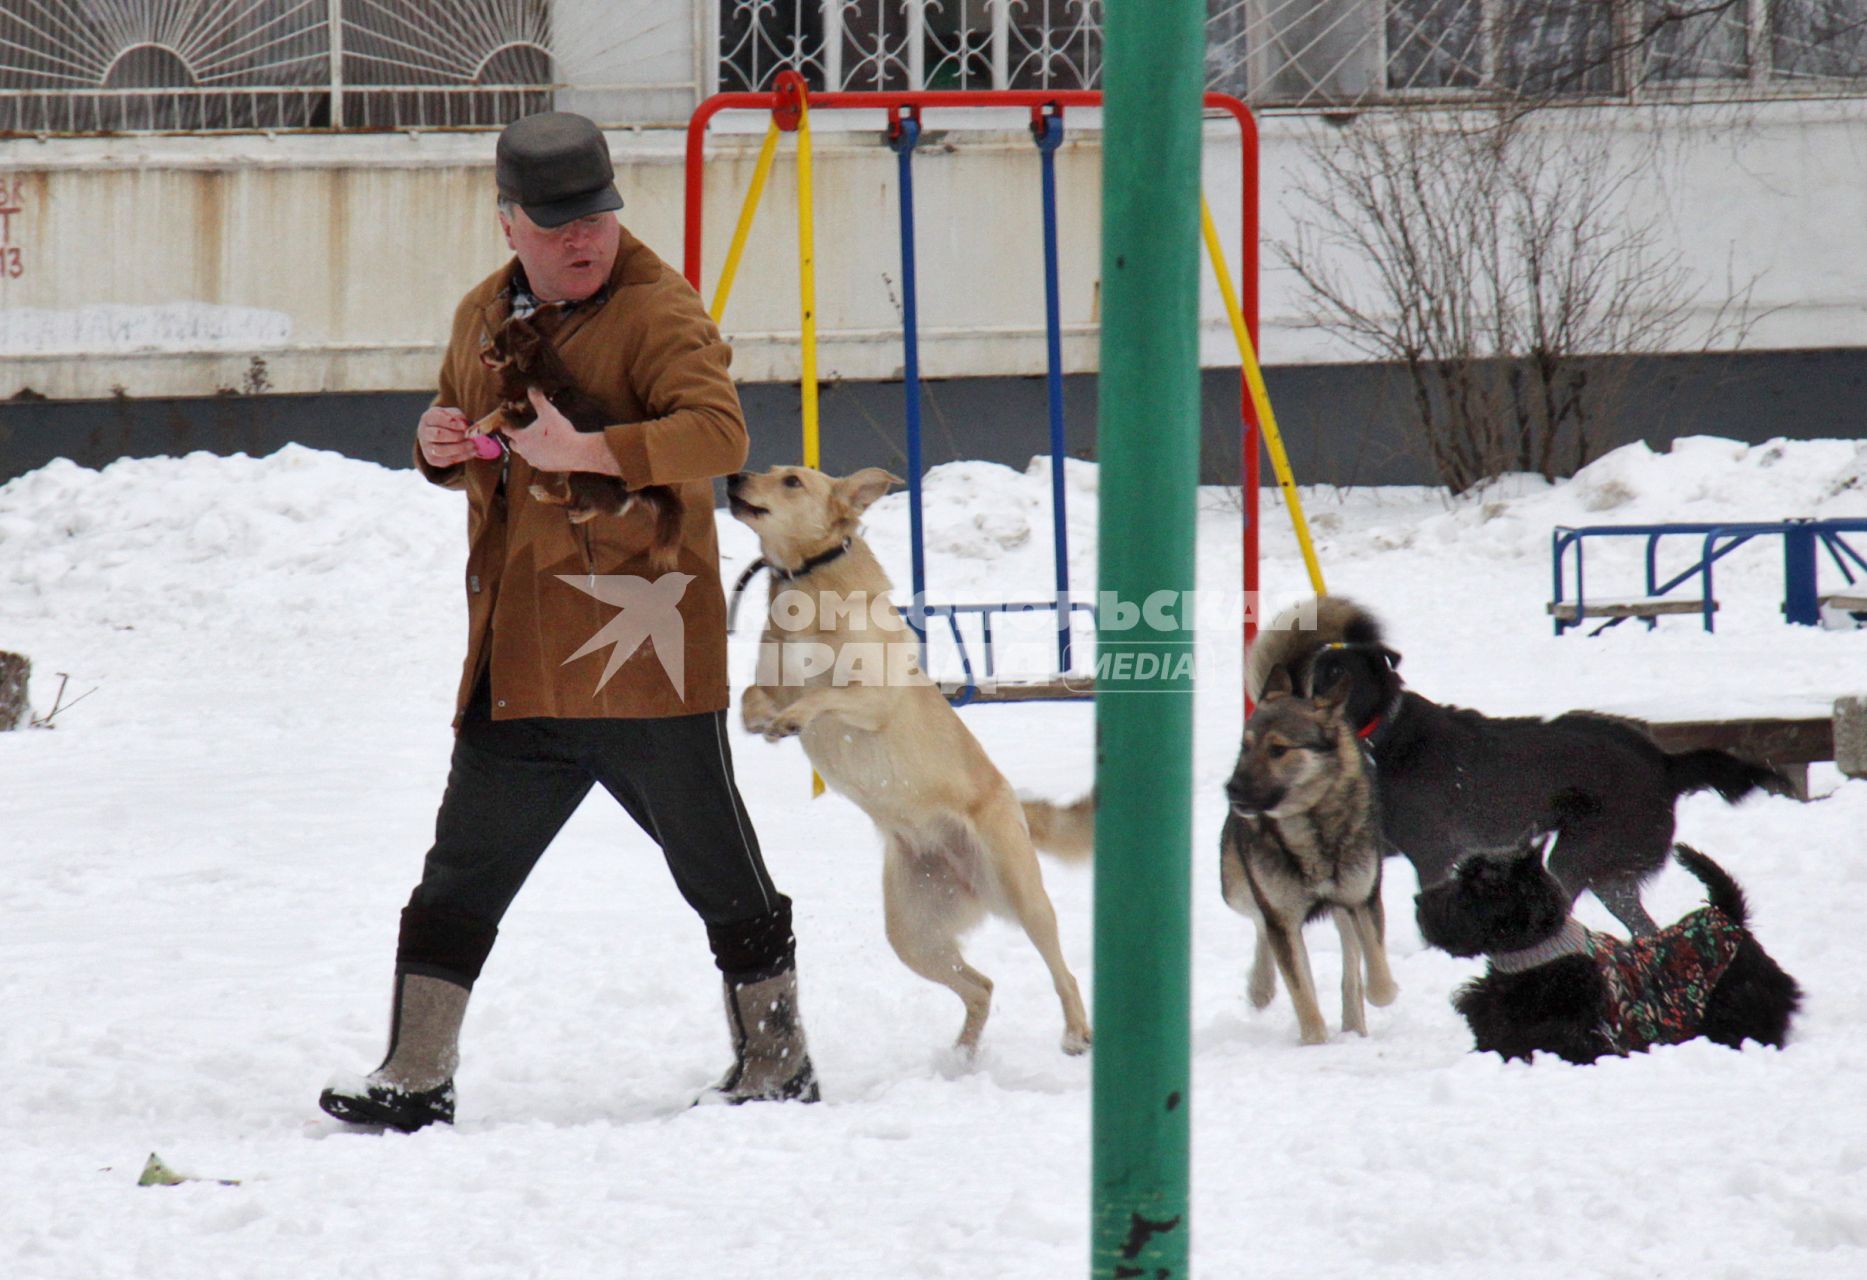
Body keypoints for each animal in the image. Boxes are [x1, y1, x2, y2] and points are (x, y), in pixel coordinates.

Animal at [474, 313, 687, 563]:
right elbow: (498, 409)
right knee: (596, 506)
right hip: (570, 474)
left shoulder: (529, 418)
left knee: (584, 504)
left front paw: (478, 427)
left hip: (578, 475)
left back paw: (551, 498)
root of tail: (634, 489)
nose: (480, 353)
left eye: (496, 348)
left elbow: (500, 413)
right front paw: (480, 424)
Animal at [724, 466, 1090, 1059]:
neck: (807, 581)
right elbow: (753, 697)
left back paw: (1076, 1032)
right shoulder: (770, 680)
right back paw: (961, 1059)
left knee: (1063, 970)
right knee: (981, 987)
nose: (734, 476)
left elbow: (823, 696)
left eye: (791, 480)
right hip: (911, 934)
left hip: (1020, 893)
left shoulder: (873, 697)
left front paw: (793, 719)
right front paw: (765, 723)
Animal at [1217, 671, 1396, 1044]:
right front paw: (1315, 1043)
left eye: (1278, 749)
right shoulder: (1282, 917)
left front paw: (1376, 993)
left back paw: (1354, 1024)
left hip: (1342, 905)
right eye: (1246, 746)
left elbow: (1378, 981)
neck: (1311, 828)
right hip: (1235, 888)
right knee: (1259, 922)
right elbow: (1302, 993)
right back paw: (1261, 987)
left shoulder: (1361, 896)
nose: (1232, 789)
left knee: (1351, 961)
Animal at [1247, 597, 1799, 936]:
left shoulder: (1433, 854)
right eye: (1312, 674)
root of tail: (1663, 762)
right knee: (1643, 926)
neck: (1386, 733)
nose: (1302, 706)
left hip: (1577, 855)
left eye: (1338, 674)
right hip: (1612, 874)